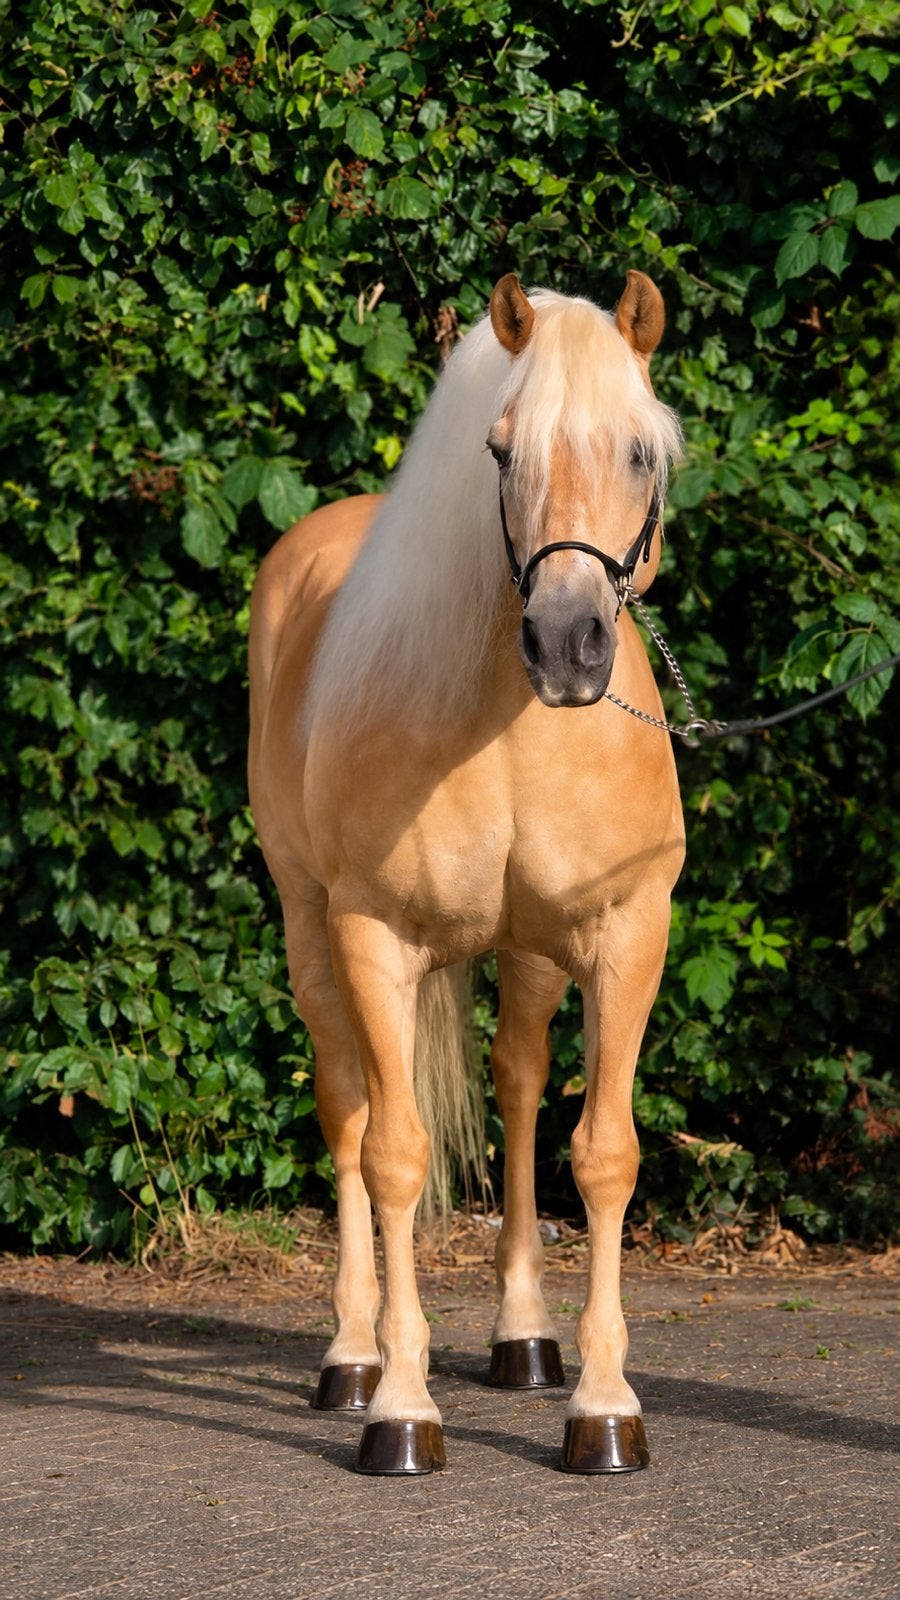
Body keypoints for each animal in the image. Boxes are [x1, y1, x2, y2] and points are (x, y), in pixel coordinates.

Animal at [248, 270, 686, 1475]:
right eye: (500, 451)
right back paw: (351, 1357)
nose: (569, 643)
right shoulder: (373, 938)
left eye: (642, 450)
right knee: (348, 1113)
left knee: (521, 1090)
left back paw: (524, 1339)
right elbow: (395, 1156)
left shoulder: (628, 934)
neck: (508, 727)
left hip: (530, 957)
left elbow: (603, 1154)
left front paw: (603, 1406)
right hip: (310, 930)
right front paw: (401, 1406)